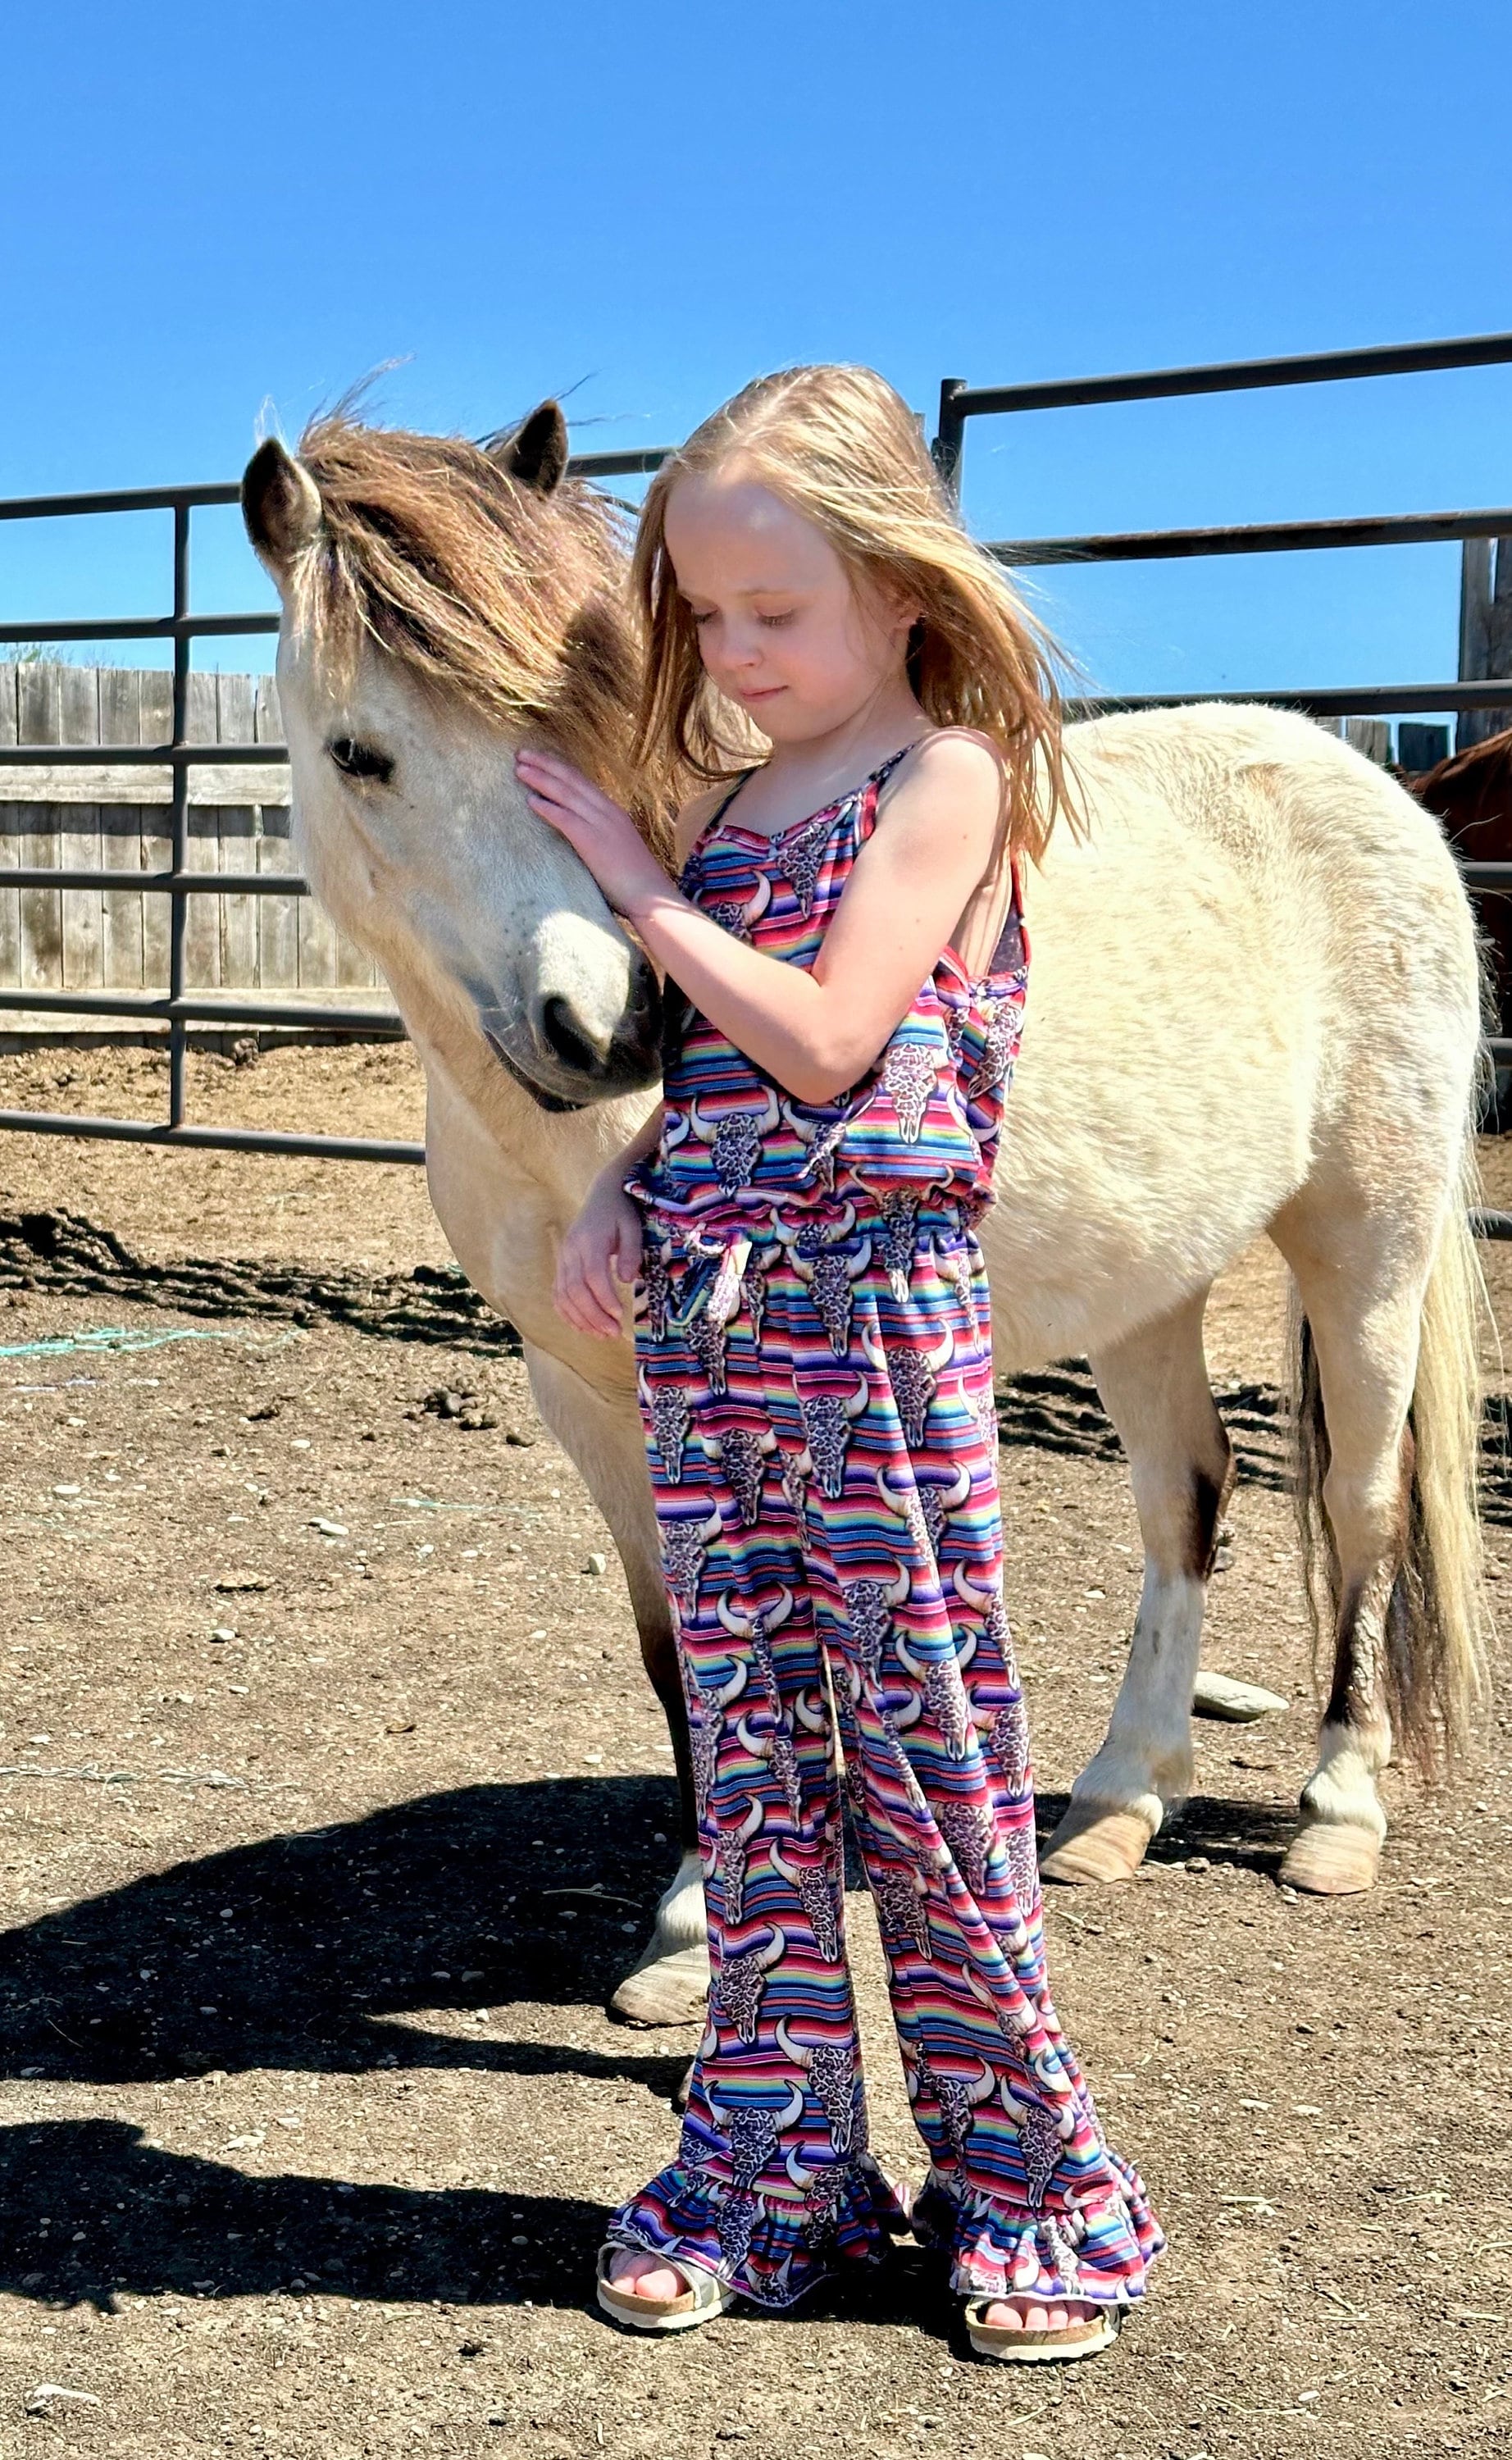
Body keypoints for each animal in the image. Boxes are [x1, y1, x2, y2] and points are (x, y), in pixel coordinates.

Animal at [242, 399, 1485, 2017]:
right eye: (361, 752)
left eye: (583, 711)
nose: (609, 1027)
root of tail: (1374, 789)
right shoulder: (583, 1397)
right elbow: (677, 1652)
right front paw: (698, 1920)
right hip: (1150, 1285)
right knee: (1185, 1495)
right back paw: (1116, 1802)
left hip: (1365, 1244)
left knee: (1360, 1501)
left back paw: (1337, 1809)